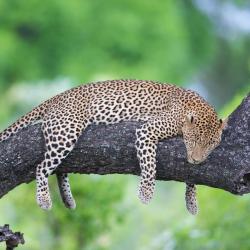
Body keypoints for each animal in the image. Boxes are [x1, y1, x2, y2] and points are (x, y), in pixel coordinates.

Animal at [0, 79, 227, 215]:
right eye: (195, 140)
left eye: (210, 145)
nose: (197, 159)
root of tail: (57, 97)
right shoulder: (147, 131)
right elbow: (150, 164)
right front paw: (146, 193)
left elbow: (190, 176)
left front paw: (192, 202)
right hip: (67, 131)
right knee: (41, 167)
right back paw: (44, 199)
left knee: (58, 169)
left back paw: (68, 200)